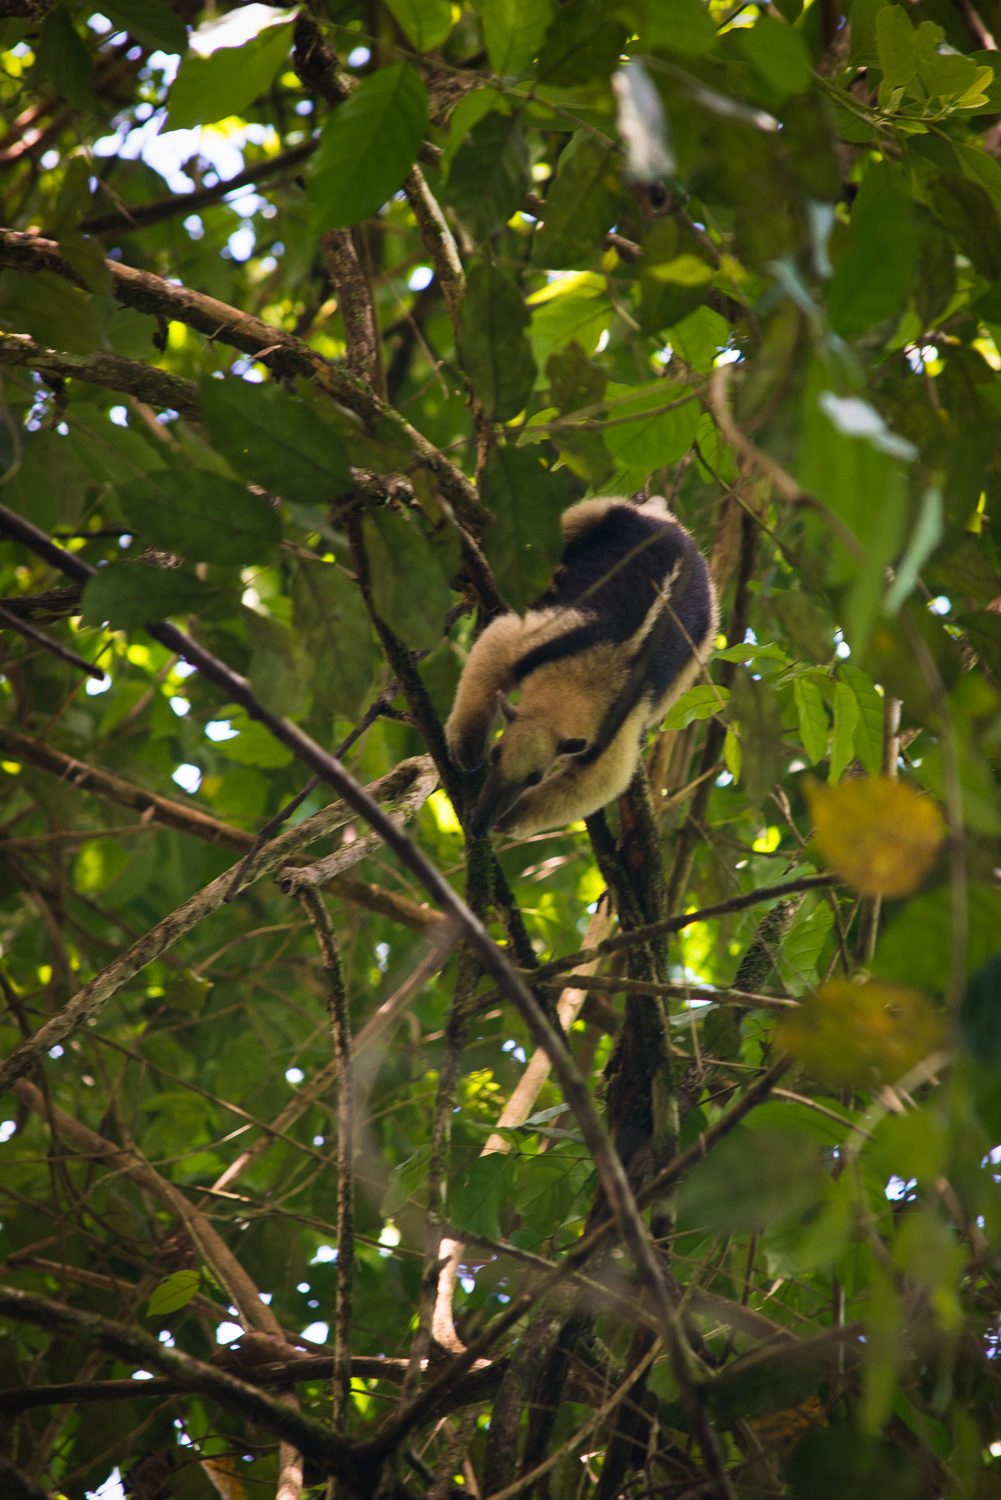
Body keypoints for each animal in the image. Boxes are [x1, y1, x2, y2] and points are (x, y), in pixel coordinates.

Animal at [445, 496, 719, 840]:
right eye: (494, 755)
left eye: (535, 778)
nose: (479, 826)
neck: (582, 680)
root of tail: (679, 529)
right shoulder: (550, 639)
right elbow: (498, 648)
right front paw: (467, 747)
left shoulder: (617, 724)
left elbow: (598, 780)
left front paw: (511, 819)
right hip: (614, 517)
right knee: (572, 524)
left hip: (705, 629)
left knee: (683, 677)